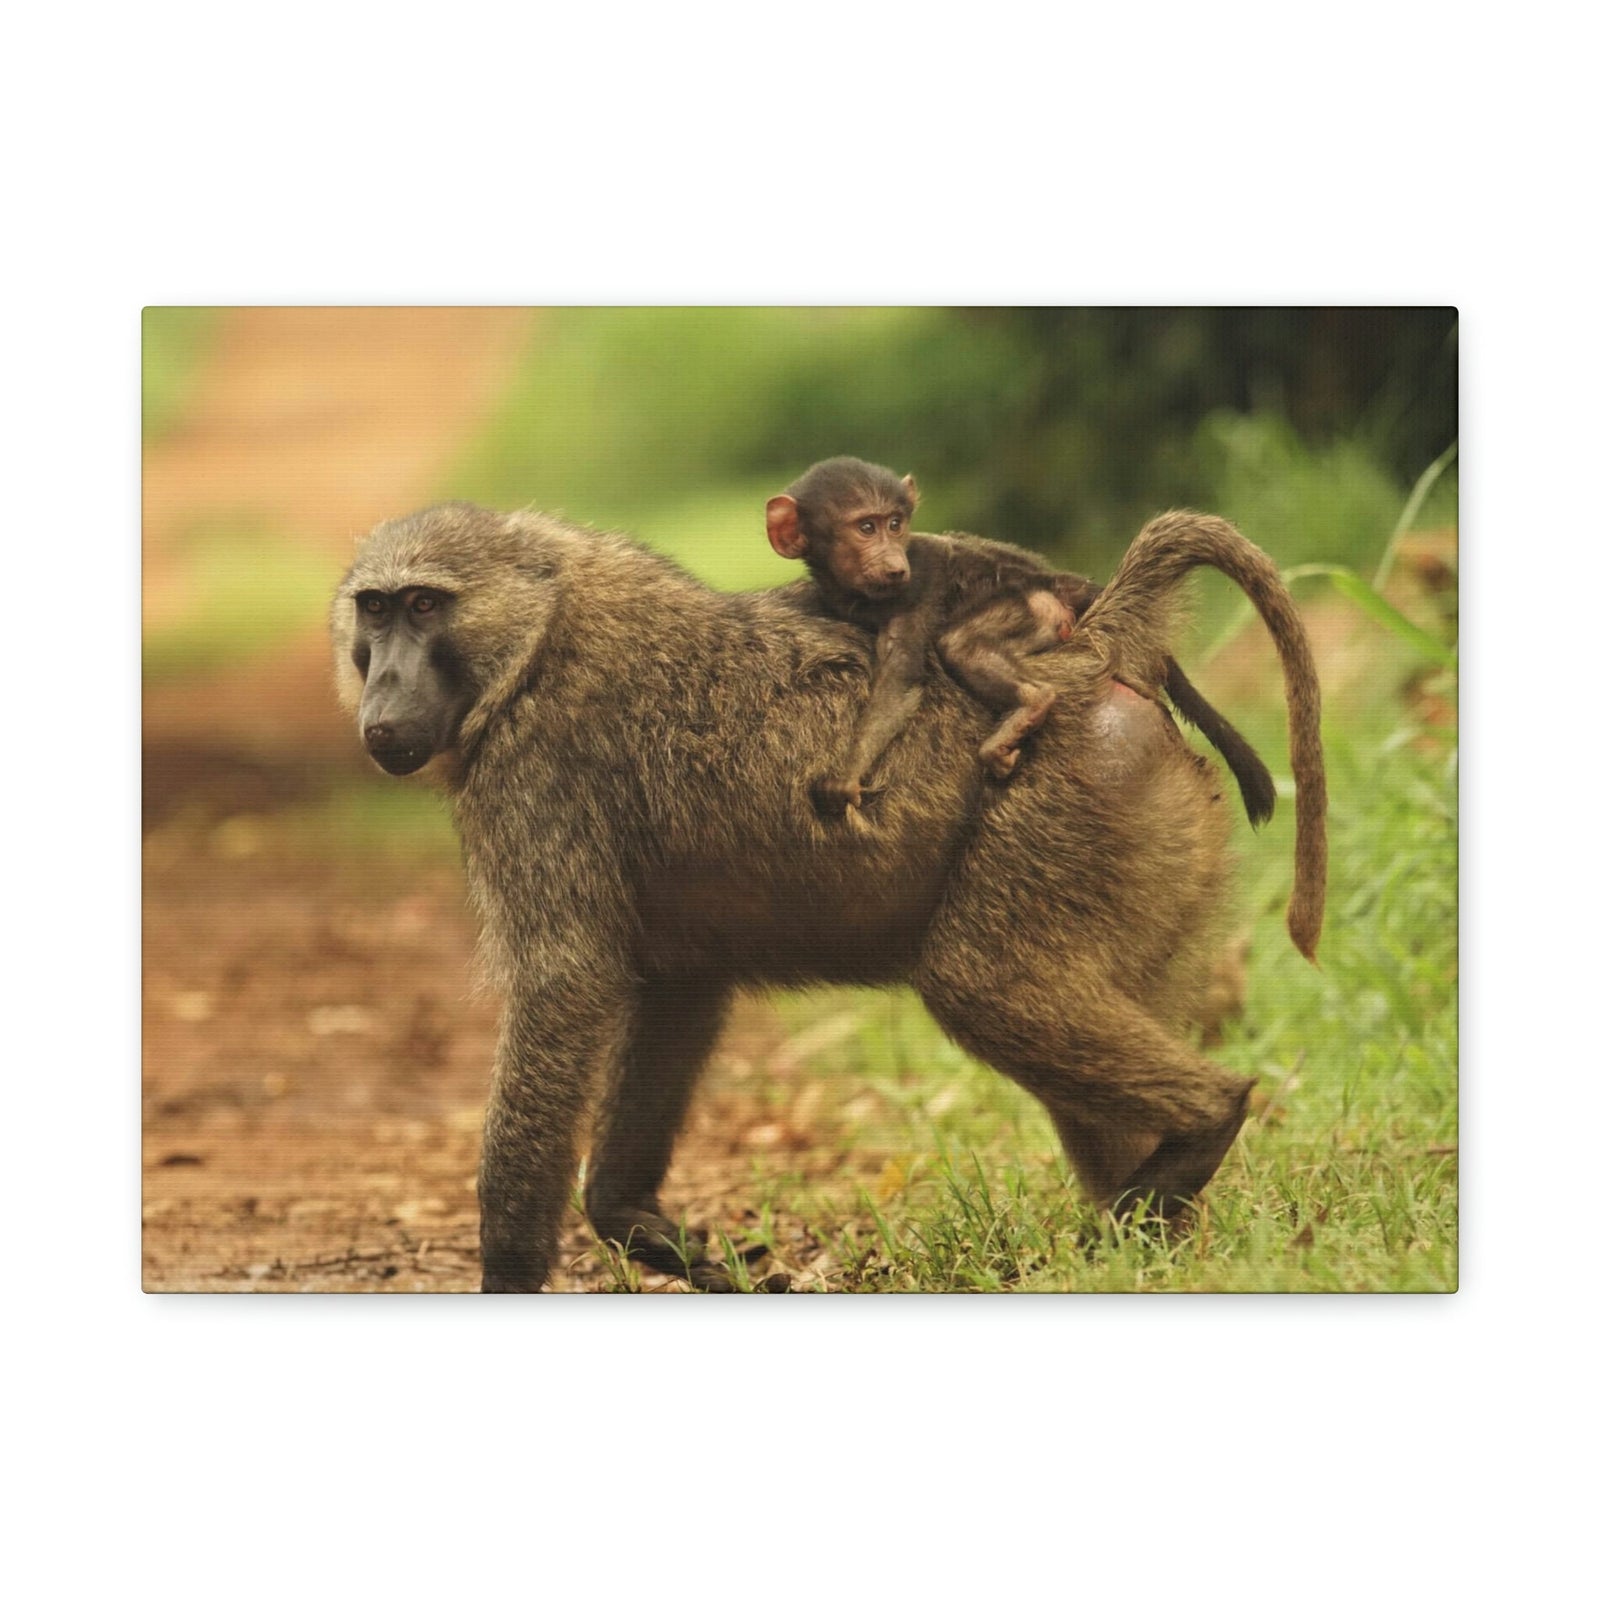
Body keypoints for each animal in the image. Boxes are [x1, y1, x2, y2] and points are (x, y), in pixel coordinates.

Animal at [333, 501, 1325, 1291]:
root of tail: (1096, 650)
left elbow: (563, 985)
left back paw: (1199, 1131)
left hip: (1074, 797)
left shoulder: (538, 764)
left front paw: (508, 1271)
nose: (382, 703)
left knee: (985, 986)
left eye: (424, 605)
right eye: (373, 611)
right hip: (1146, 835)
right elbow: (674, 988)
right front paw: (645, 1229)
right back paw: (1163, 1242)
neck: (540, 631)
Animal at [766, 457, 1277, 824]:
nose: (893, 563)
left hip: (1037, 608)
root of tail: (1056, 580)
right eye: (866, 528)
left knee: (961, 644)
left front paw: (845, 777)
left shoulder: (918, 589)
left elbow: (899, 682)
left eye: (895, 524)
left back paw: (1031, 703)